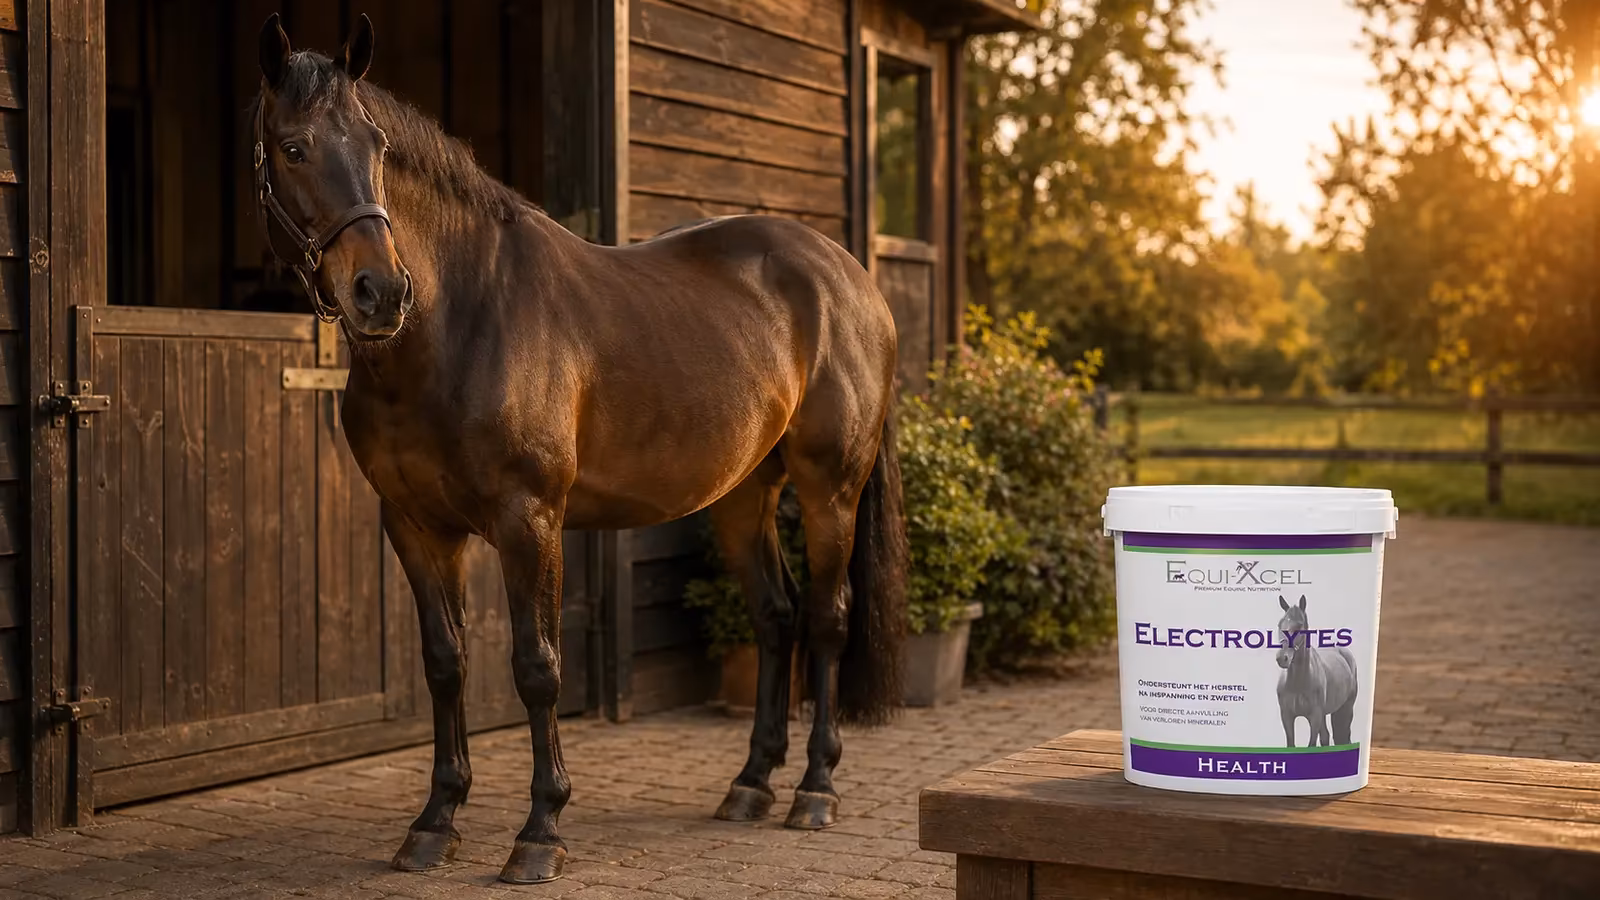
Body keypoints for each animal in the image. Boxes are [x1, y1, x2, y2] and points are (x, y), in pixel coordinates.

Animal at [249, 13, 908, 884]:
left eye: (378, 146)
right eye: (293, 147)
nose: (380, 293)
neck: (457, 321)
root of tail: (851, 279)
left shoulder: (529, 520)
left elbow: (537, 667)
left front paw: (541, 830)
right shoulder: (416, 525)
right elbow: (445, 662)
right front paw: (434, 821)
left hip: (830, 486)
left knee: (829, 620)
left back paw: (815, 790)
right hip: (744, 494)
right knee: (776, 617)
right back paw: (750, 784)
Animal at [1274, 594, 1358, 749]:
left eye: (1299, 625)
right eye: (1280, 625)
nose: (1282, 658)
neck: (1297, 684)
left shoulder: (1315, 717)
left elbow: (1311, 745)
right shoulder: (1287, 717)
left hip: (1346, 708)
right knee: (1326, 736)